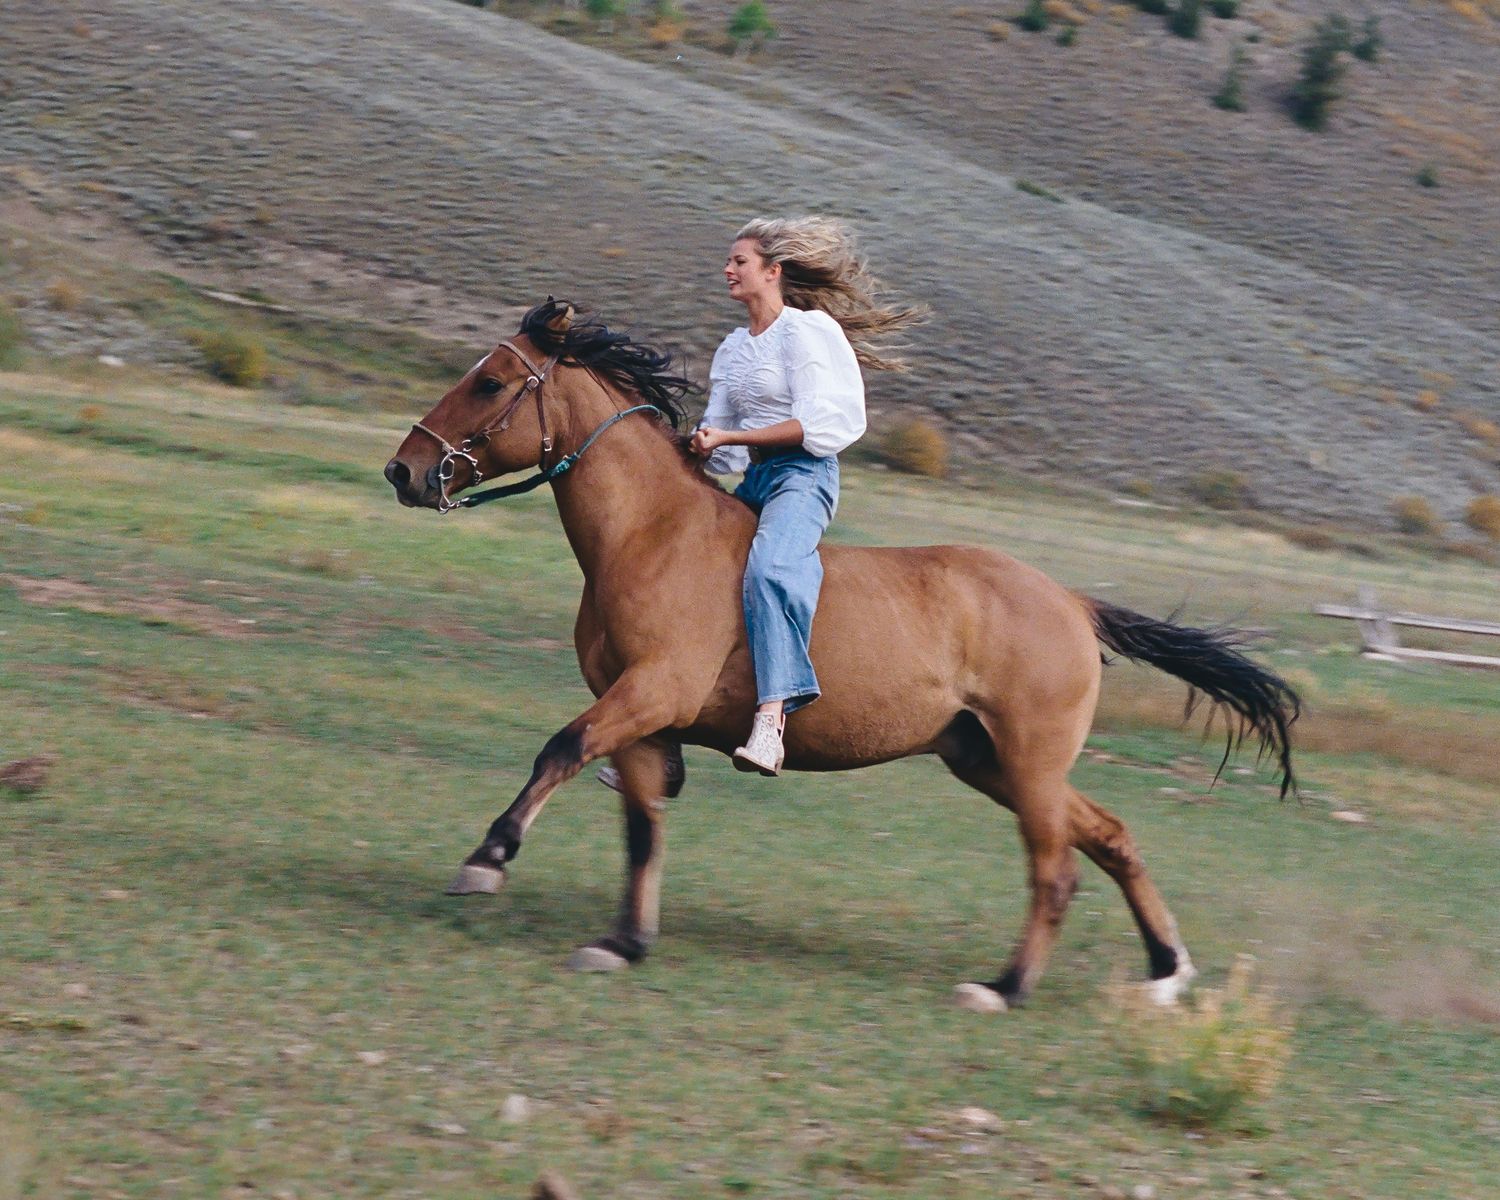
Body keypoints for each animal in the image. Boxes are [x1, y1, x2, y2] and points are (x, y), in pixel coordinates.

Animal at [383, 299, 1299, 1012]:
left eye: (489, 383)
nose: (405, 469)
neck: (650, 536)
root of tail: (1074, 603)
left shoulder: (648, 695)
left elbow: (560, 749)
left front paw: (488, 859)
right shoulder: (641, 720)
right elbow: (642, 828)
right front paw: (622, 942)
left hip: (1030, 765)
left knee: (1056, 872)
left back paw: (1003, 988)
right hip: (985, 758)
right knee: (1110, 835)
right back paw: (1166, 970)